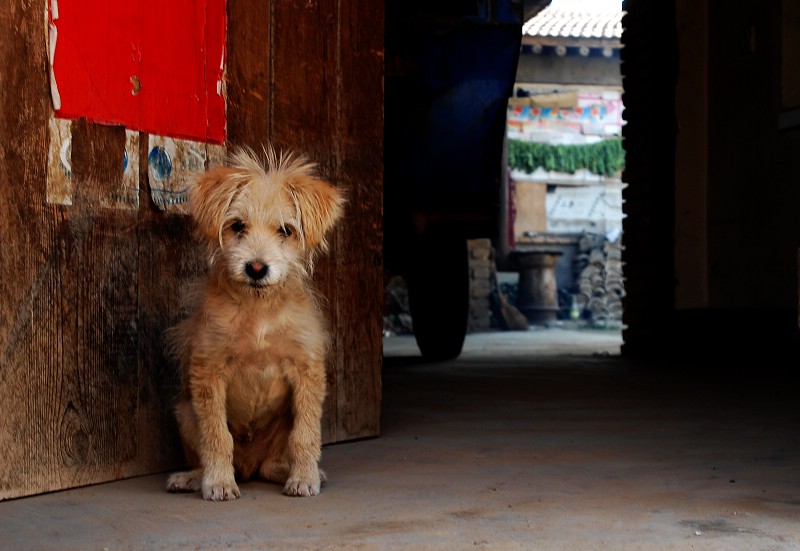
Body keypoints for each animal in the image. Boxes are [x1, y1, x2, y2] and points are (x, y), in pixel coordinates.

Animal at [166, 144, 344, 502]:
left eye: (286, 231)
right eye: (237, 226)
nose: (257, 268)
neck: (259, 309)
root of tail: (248, 466)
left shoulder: (307, 372)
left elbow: (306, 435)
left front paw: (304, 478)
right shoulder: (208, 371)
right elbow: (217, 436)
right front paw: (218, 482)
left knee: (271, 463)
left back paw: (289, 471)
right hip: (184, 412)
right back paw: (193, 477)